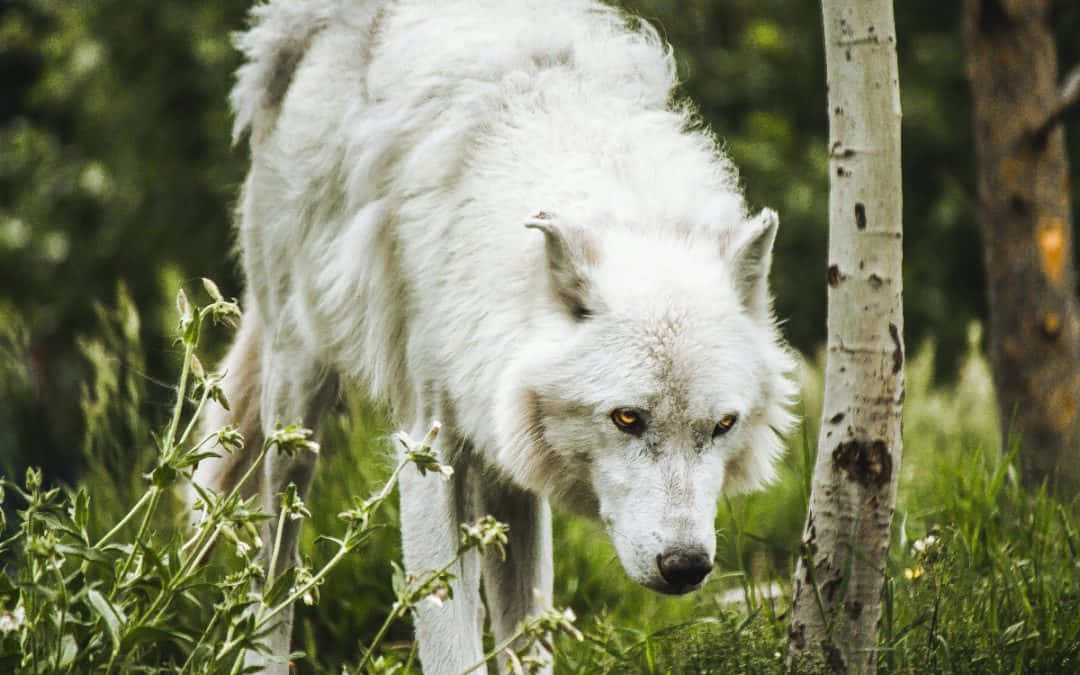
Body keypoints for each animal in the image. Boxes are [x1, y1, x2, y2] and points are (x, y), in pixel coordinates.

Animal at [192, 1, 803, 669]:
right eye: (627, 419)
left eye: (722, 426)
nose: (686, 566)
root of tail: (286, 27)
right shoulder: (428, 458)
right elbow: (452, 648)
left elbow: (529, 637)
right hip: (297, 408)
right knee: (272, 557)